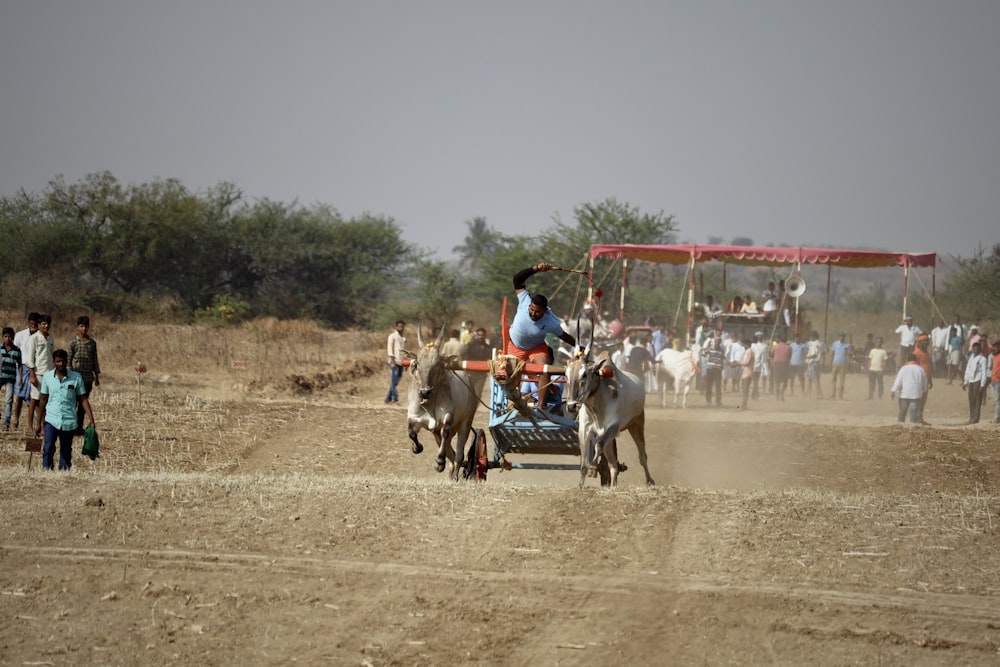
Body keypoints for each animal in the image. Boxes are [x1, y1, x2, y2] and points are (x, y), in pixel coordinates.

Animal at [408, 324, 482, 478]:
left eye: (438, 365)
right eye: (417, 363)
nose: (424, 392)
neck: (430, 402)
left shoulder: (448, 418)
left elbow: (445, 434)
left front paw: (439, 462)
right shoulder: (414, 417)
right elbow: (412, 433)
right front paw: (417, 448)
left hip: (466, 422)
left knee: (458, 454)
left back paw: (455, 473)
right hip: (436, 431)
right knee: (452, 454)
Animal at [564, 352, 656, 488]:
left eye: (584, 374)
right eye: (566, 375)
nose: (571, 406)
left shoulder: (613, 427)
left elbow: (598, 446)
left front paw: (593, 466)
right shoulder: (584, 430)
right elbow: (584, 464)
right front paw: (580, 486)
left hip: (637, 423)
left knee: (642, 456)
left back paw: (650, 480)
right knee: (613, 465)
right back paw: (612, 486)